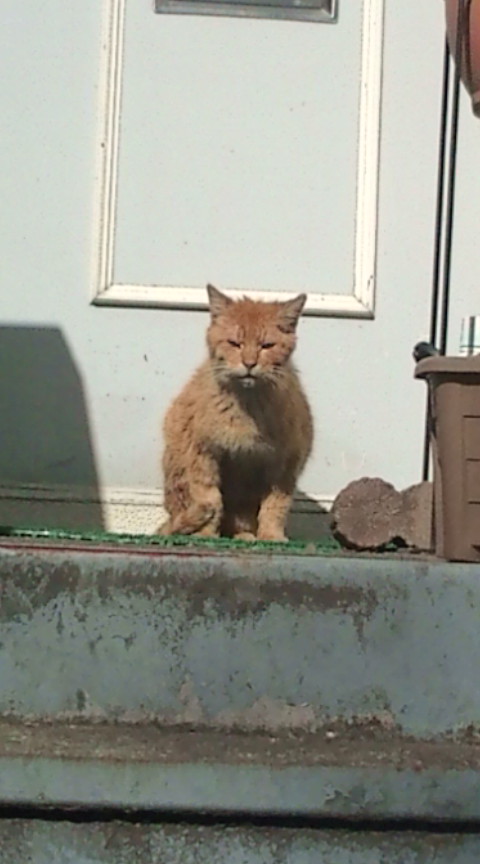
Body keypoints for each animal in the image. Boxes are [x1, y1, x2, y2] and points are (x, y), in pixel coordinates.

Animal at [159, 284, 313, 541]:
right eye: (234, 343)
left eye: (267, 346)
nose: (249, 363)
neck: (247, 408)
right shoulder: (202, 454)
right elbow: (210, 498)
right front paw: (206, 535)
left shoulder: (284, 464)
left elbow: (275, 505)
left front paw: (271, 536)